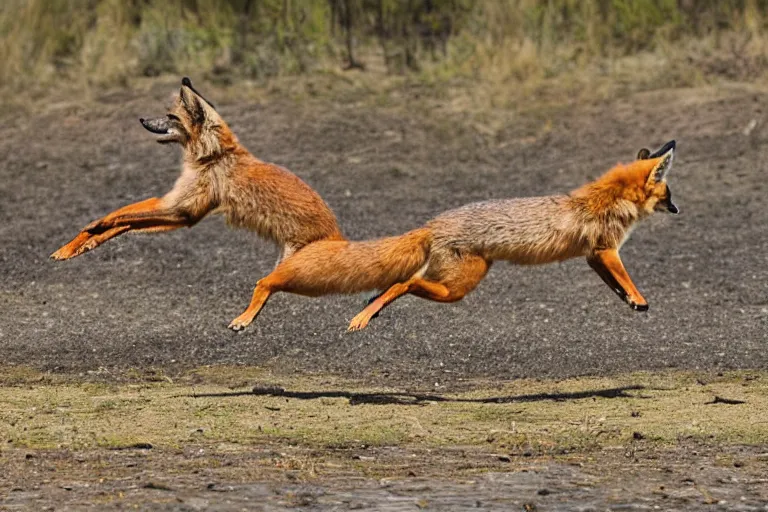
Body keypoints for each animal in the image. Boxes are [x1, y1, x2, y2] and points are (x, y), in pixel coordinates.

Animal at [49, 77, 344, 328]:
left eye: (171, 117)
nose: (142, 119)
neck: (214, 155)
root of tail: (338, 234)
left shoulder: (183, 211)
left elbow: (120, 218)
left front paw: (93, 230)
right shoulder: (175, 206)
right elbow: (123, 219)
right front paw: (77, 245)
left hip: (297, 276)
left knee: (264, 284)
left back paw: (244, 320)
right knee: (268, 285)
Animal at [228, 140, 680, 332]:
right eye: (670, 194)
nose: (679, 210)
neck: (607, 199)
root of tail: (433, 223)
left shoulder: (594, 256)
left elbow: (615, 286)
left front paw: (630, 302)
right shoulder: (606, 249)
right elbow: (627, 279)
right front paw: (639, 298)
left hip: (456, 283)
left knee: (396, 284)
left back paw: (367, 310)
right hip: (457, 287)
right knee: (403, 284)